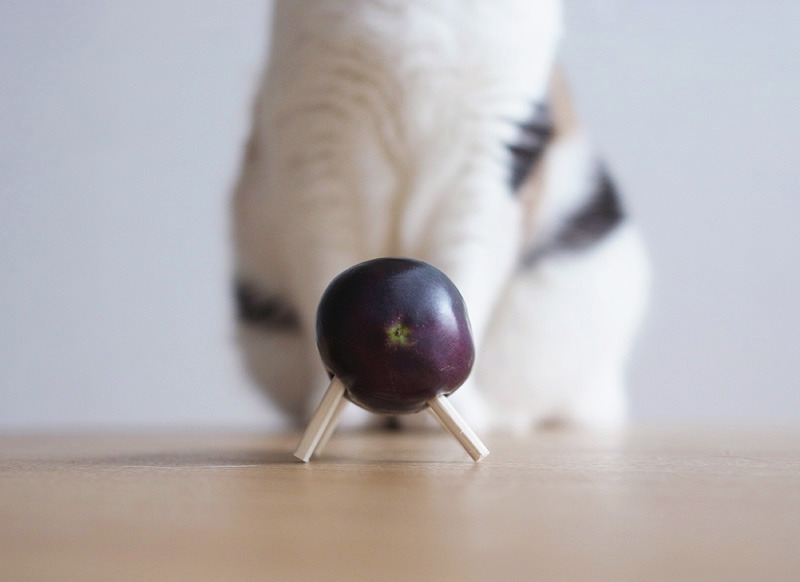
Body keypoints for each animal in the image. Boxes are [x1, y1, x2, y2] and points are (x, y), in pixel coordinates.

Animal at [232, 0, 649, 432]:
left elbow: (466, 274)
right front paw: (336, 411)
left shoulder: (491, 158)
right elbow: (324, 274)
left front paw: (453, 409)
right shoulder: (316, 159)